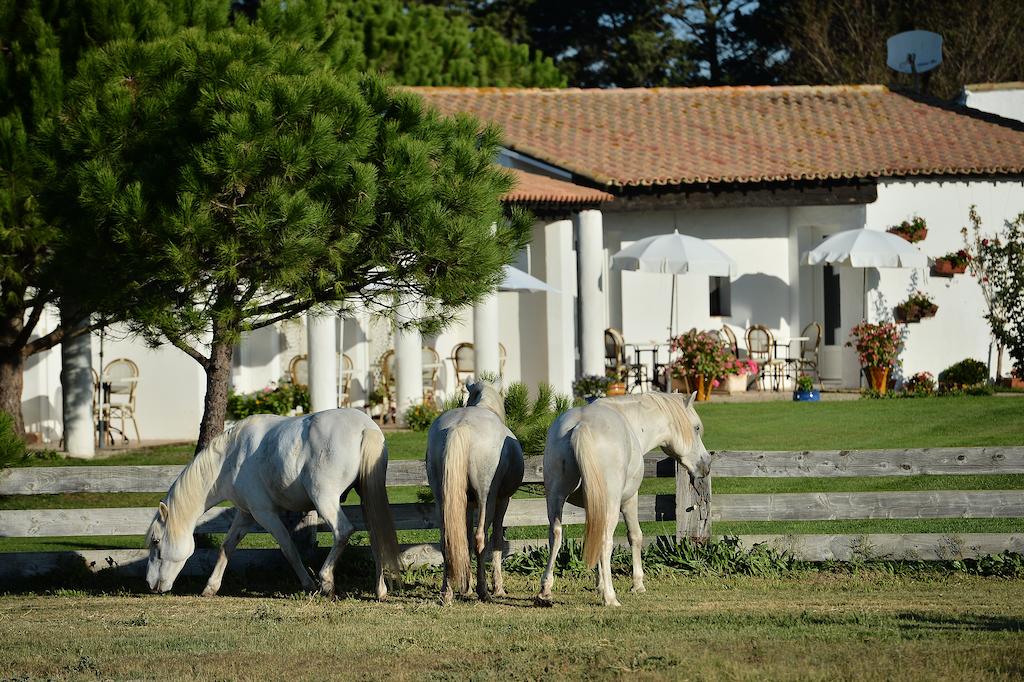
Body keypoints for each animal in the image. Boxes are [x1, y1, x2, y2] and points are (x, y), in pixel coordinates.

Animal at [145, 405, 399, 598]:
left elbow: (288, 548)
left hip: (324, 499)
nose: (150, 584)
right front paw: (211, 587)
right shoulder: (246, 514)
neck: (231, 457)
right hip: (365, 494)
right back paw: (380, 590)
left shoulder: (264, 513)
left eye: (156, 541)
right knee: (375, 535)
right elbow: (227, 546)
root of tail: (365, 427)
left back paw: (326, 581)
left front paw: (308, 584)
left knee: (343, 531)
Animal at [423, 378, 524, 602]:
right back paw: (484, 591)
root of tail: (461, 426)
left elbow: (465, 539)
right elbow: (496, 540)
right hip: (487, 498)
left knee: (447, 541)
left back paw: (447, 592)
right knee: (481, 539)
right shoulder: (503, 500)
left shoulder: (467, 504)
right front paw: (498, 587)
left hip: (442, 498)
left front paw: (465, 587)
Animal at [536, 391, 712, 602]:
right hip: (611, 504)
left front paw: (600, 584)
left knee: (555, 534)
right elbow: (635, 536)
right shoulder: (630, 499)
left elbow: (593, 537)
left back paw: (546, 589)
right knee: (605, 540)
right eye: (696, 428)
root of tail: (580, 426)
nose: (706, 464)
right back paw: (611, 598)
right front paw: (637, 584)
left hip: (555, 498)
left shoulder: (593, 506)